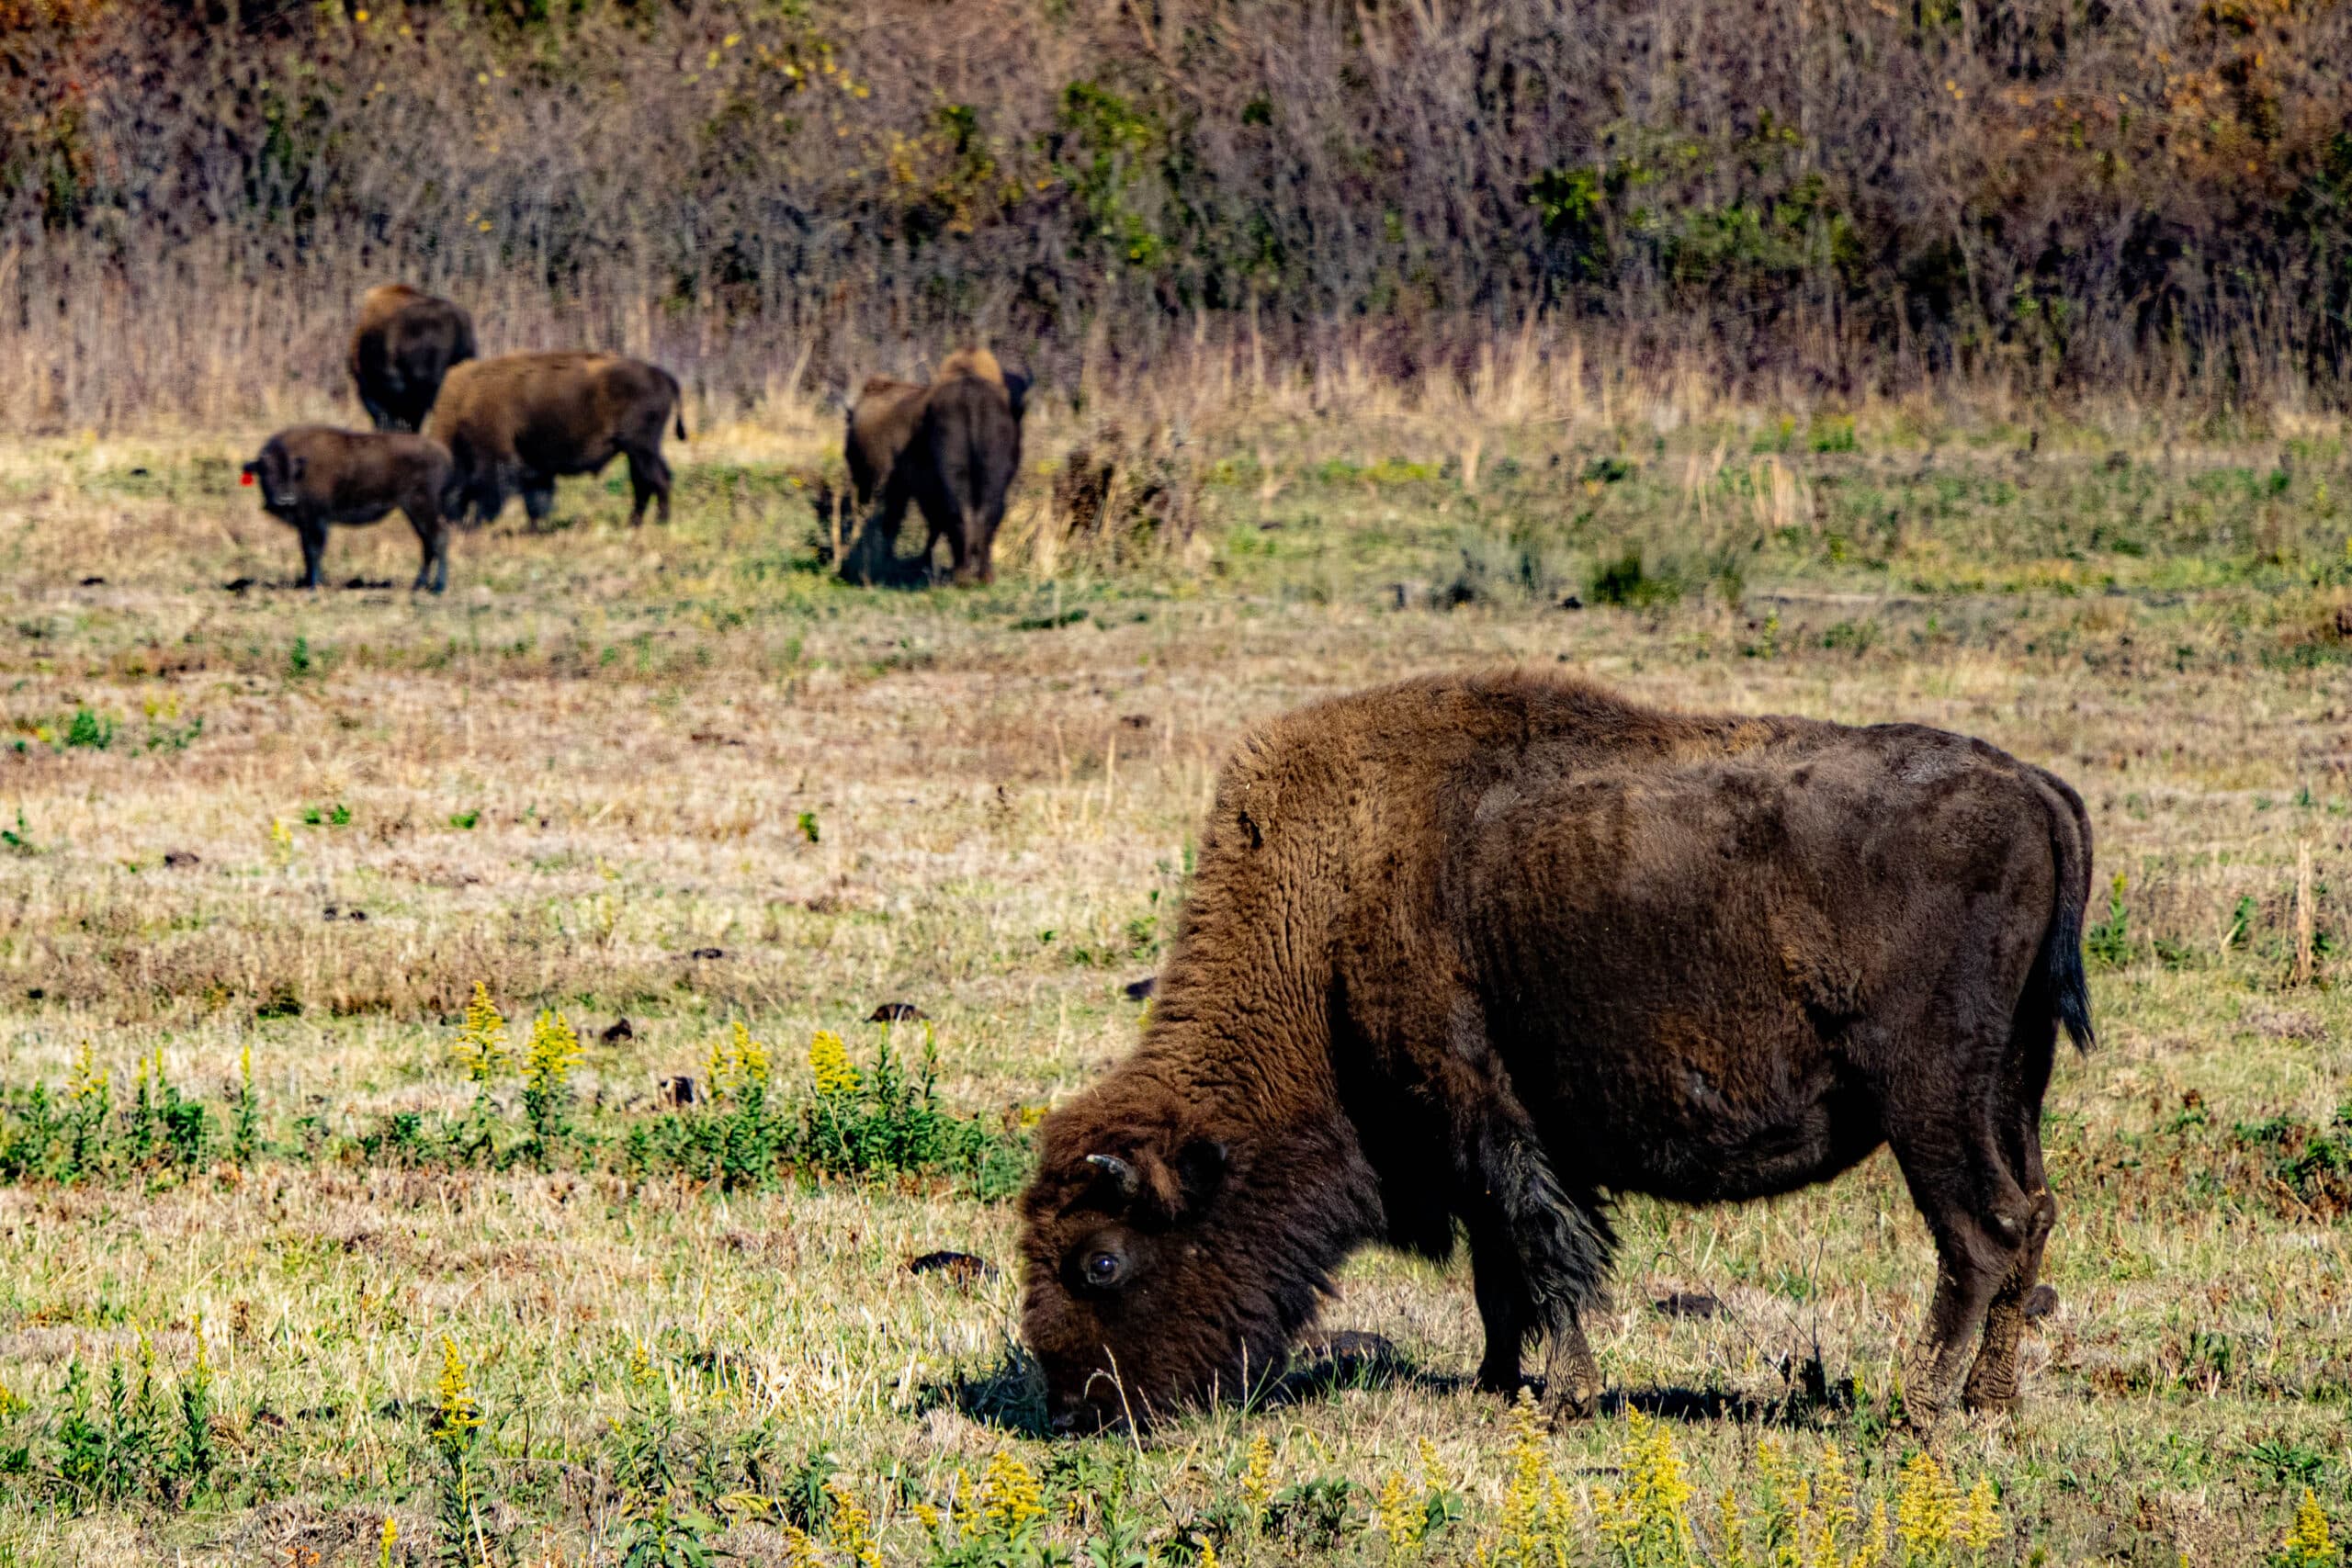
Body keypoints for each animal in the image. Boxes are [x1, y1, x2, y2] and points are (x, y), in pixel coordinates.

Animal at [240, 426, 455, 592]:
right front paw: (308, 582)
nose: (286, 499)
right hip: (414, 512)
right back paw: (419, 585)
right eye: (267, 471)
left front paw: (314, 585)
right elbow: (306, 551)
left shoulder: (318, 520)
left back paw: (438, 587)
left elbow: (314, 550)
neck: (303, 469)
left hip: (421, 508)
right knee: (428, 543)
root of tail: (443, 454)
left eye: (293, 472)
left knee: (439, 538)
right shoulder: (305, 524)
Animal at [428, 352, 686, 527]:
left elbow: (494, 493)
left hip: (641, 448)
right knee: (644, 482)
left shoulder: (495, 458)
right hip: (636, 450)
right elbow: (535, 499)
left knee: (656, 479)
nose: (449, 523)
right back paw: (634, 522)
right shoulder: (534, 467)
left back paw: (660, 520)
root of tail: (660, 375)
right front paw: (533, 528)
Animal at [1019, 670, 2093, 1433]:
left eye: (1100, 1262)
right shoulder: (1496, 1139)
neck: (1326, 921)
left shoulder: (1483, 1112)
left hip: (1929, 1097)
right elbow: (1505, 1269)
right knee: (2034, 1212)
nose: (1075, 1409)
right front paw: (1497, 1382)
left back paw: (1922, 1407)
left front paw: (1564, 1394)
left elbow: (1542, 1252)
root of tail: (2033, 788)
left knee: (1981, 1229)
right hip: (2011, 1085)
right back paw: (1991, 1401)